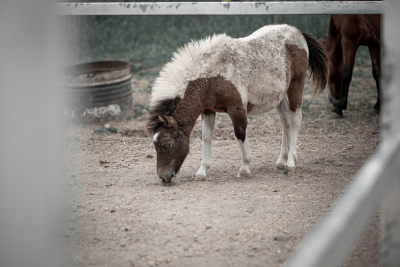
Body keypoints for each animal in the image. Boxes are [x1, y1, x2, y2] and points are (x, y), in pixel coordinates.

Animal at [145, 24, 326, 184]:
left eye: (166, 144)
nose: (163, 177)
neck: (212, 76)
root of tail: (298, 32)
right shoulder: (208, 110)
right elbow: (206, 137)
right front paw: (202, 172)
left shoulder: (237, 108)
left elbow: (240, 134)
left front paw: (245, 168)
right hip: (279, 97)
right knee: (286, 124)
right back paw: (281, 161)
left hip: (295, 87)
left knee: (295, 121)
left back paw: (290, 163)